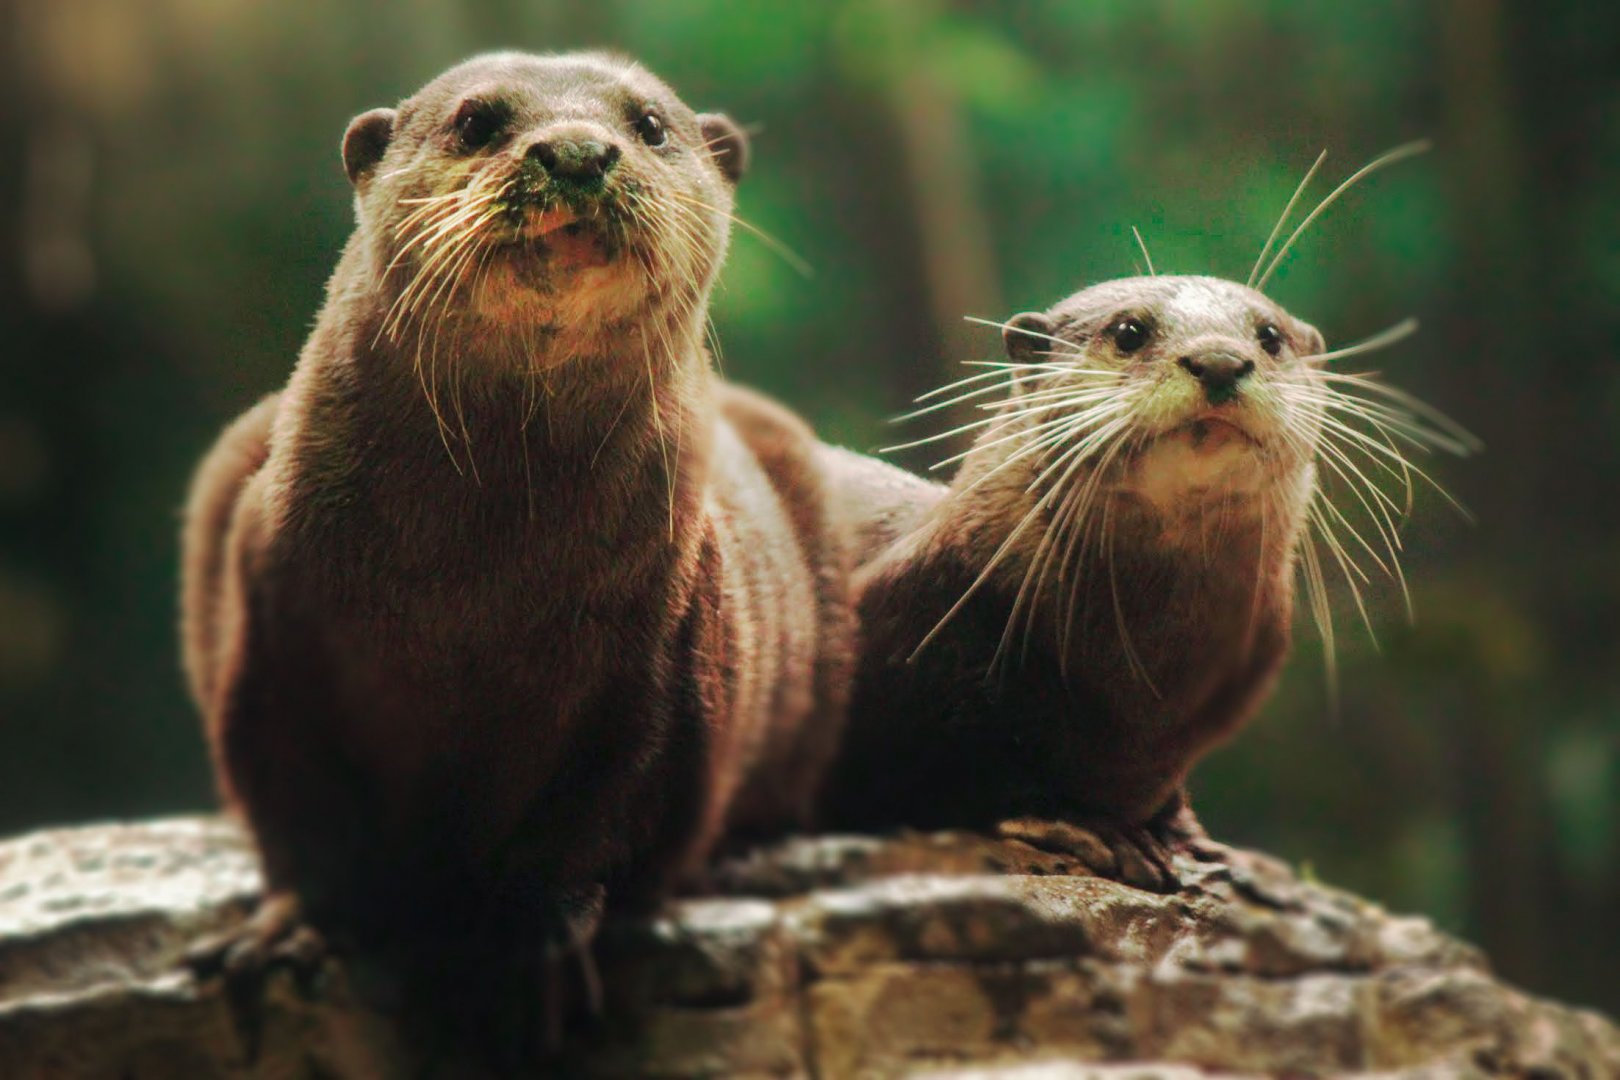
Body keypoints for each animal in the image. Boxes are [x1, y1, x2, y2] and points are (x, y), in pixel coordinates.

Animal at [178, 50, 892, 1061]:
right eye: (477, 121)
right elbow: (294, 807)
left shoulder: (659, 644)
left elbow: (602, 810)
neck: (473, 590)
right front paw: (290, 928)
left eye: (649, 125)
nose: (577, 152)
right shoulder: (271, 621)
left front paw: (537, 952)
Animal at [819, 272, 1471, 888]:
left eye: (1269, 336)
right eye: (1129, 331)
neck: (1133, 679)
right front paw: (1085, 824)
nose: (1219, 359)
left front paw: (1192, 839)